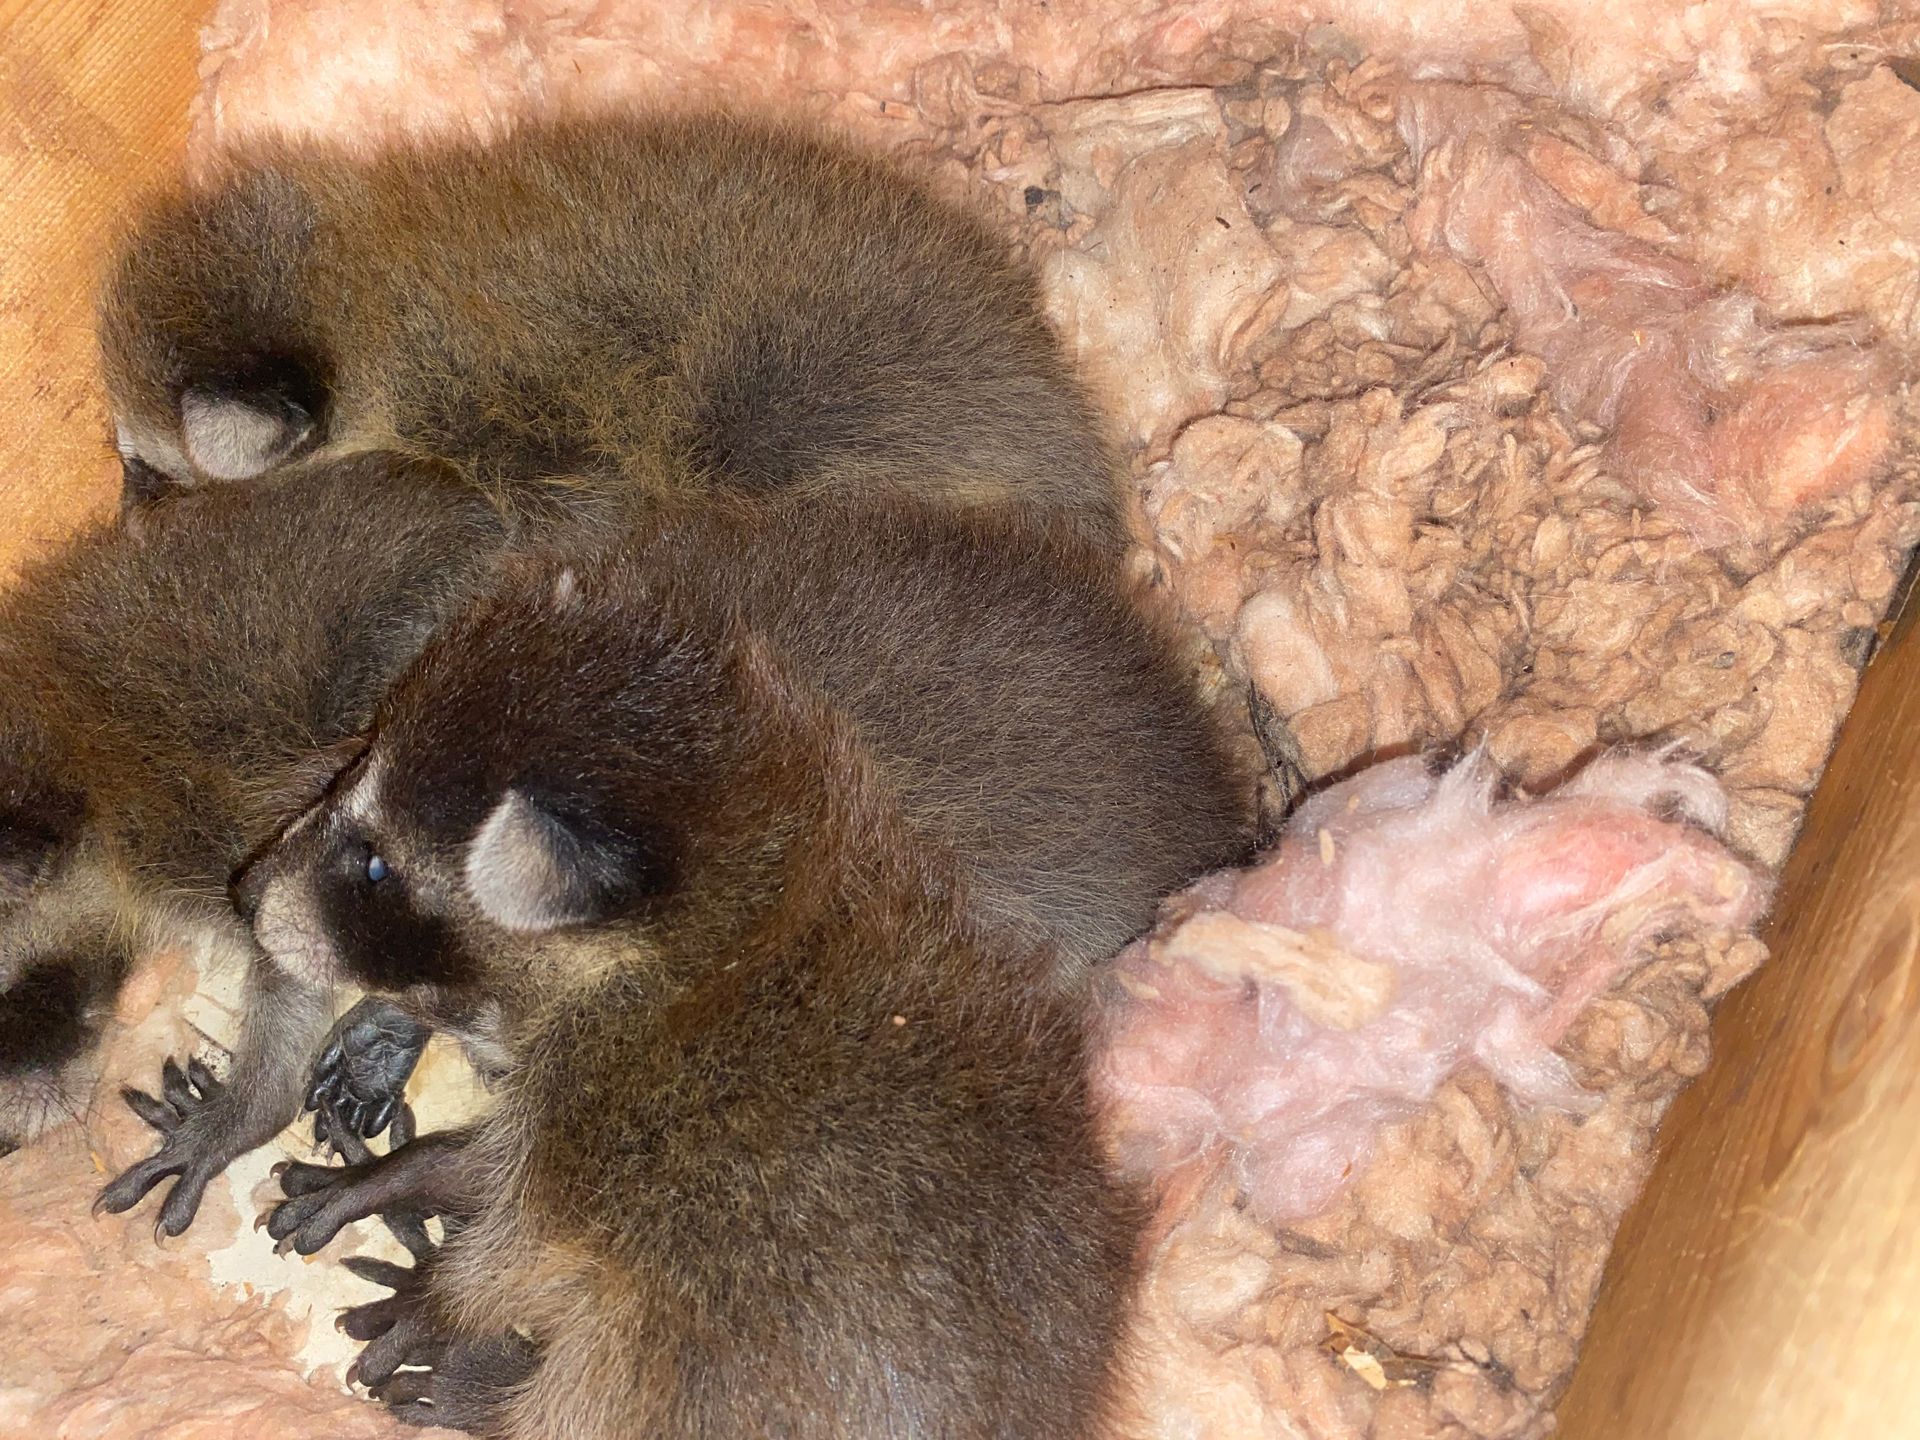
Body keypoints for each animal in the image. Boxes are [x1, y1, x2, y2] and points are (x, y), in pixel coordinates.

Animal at [237, 539, 1147, 1438]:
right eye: (354, 762)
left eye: (376, 869)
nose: (243, 893)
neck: (725, 937)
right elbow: (492, 1166)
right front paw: (403, 1173)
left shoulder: (610, 1122)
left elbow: (529, 1243)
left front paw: (447, 1296)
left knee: (608, 1379)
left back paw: (489, 1396)